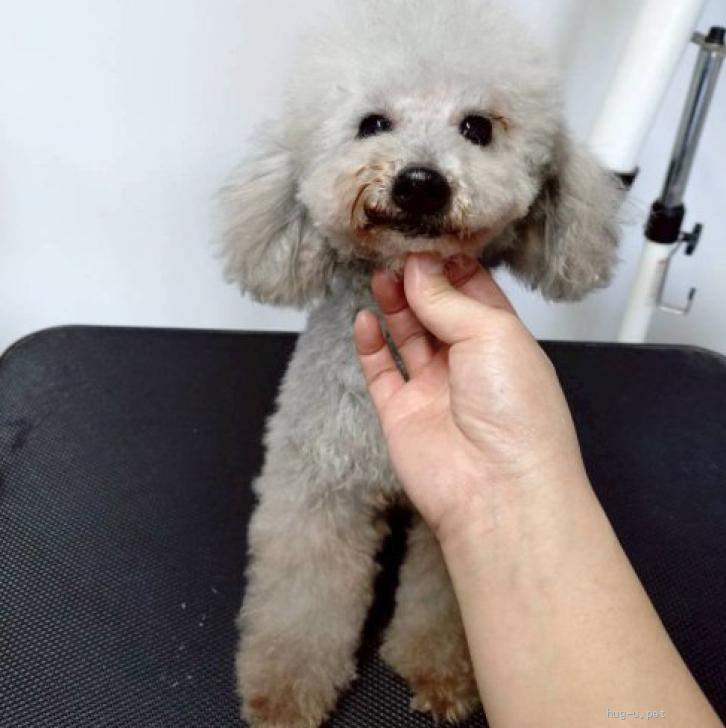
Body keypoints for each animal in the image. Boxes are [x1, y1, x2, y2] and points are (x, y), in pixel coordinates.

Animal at [218, 1, 622, 726]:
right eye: (373, 123)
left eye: (477, 128)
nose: (421, 183)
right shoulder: (316, 489)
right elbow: (302, 597)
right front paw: (285, 688)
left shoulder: (453, 518)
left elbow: (441, 603)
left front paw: (442, 672)